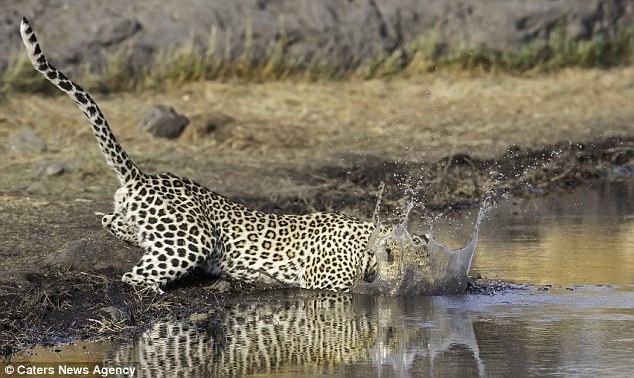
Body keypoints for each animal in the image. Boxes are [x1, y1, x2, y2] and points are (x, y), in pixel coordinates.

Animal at [19, 17, 428, 294]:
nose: (417, 284)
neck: (369, 239)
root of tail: (142, 177)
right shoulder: (325, 282)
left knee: (111, 221)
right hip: (193, 237)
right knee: (134, 275)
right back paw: (158, 289)